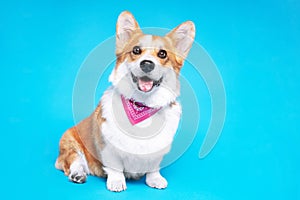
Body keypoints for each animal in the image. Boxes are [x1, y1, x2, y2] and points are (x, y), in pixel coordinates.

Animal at [55, 11, 196, 192]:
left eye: (162, 54)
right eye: (136, 50)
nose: (147, 64)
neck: (141, 105)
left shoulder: (158, 149)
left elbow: (153, 166)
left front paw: (155, 179)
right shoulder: (108, 146)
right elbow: (115, 166)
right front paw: (116, 181)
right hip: (71, 144)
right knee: (74, 162)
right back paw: (77, 174)